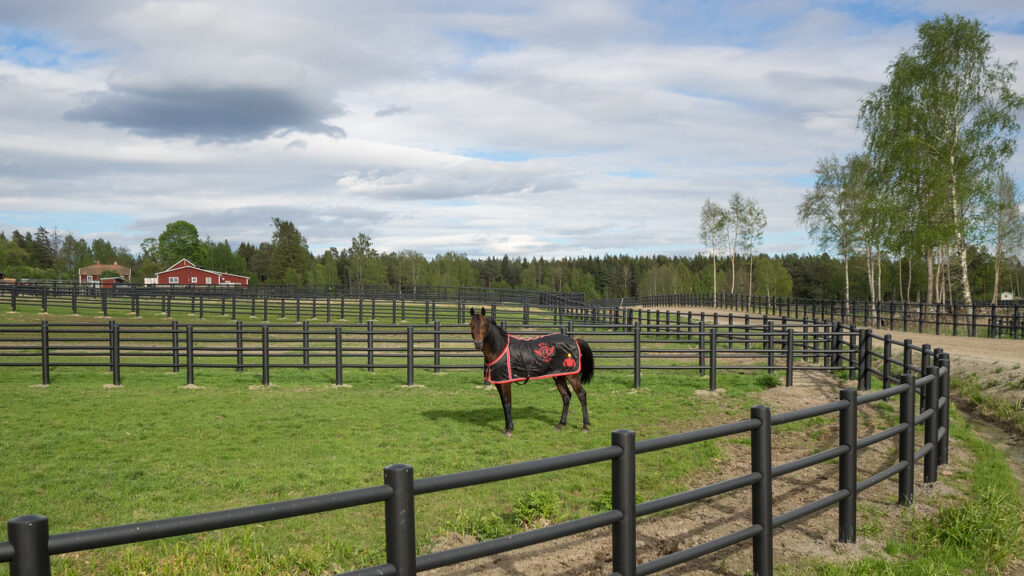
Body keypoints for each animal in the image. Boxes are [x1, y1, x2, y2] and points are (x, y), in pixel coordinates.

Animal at [468, 305, 598, 434]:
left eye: (484, 325)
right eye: (471, 325)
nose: (478, 344)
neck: (500, 348)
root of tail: (574, 340)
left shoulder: (506, 382)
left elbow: (507, 403)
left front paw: (510, 429)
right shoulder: (499, 382)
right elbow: (503, 404)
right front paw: (506, 427)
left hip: (572, 376)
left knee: (581, 395)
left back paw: (585, 426)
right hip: (559, 376)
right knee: (566, 396)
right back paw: (560, 424)